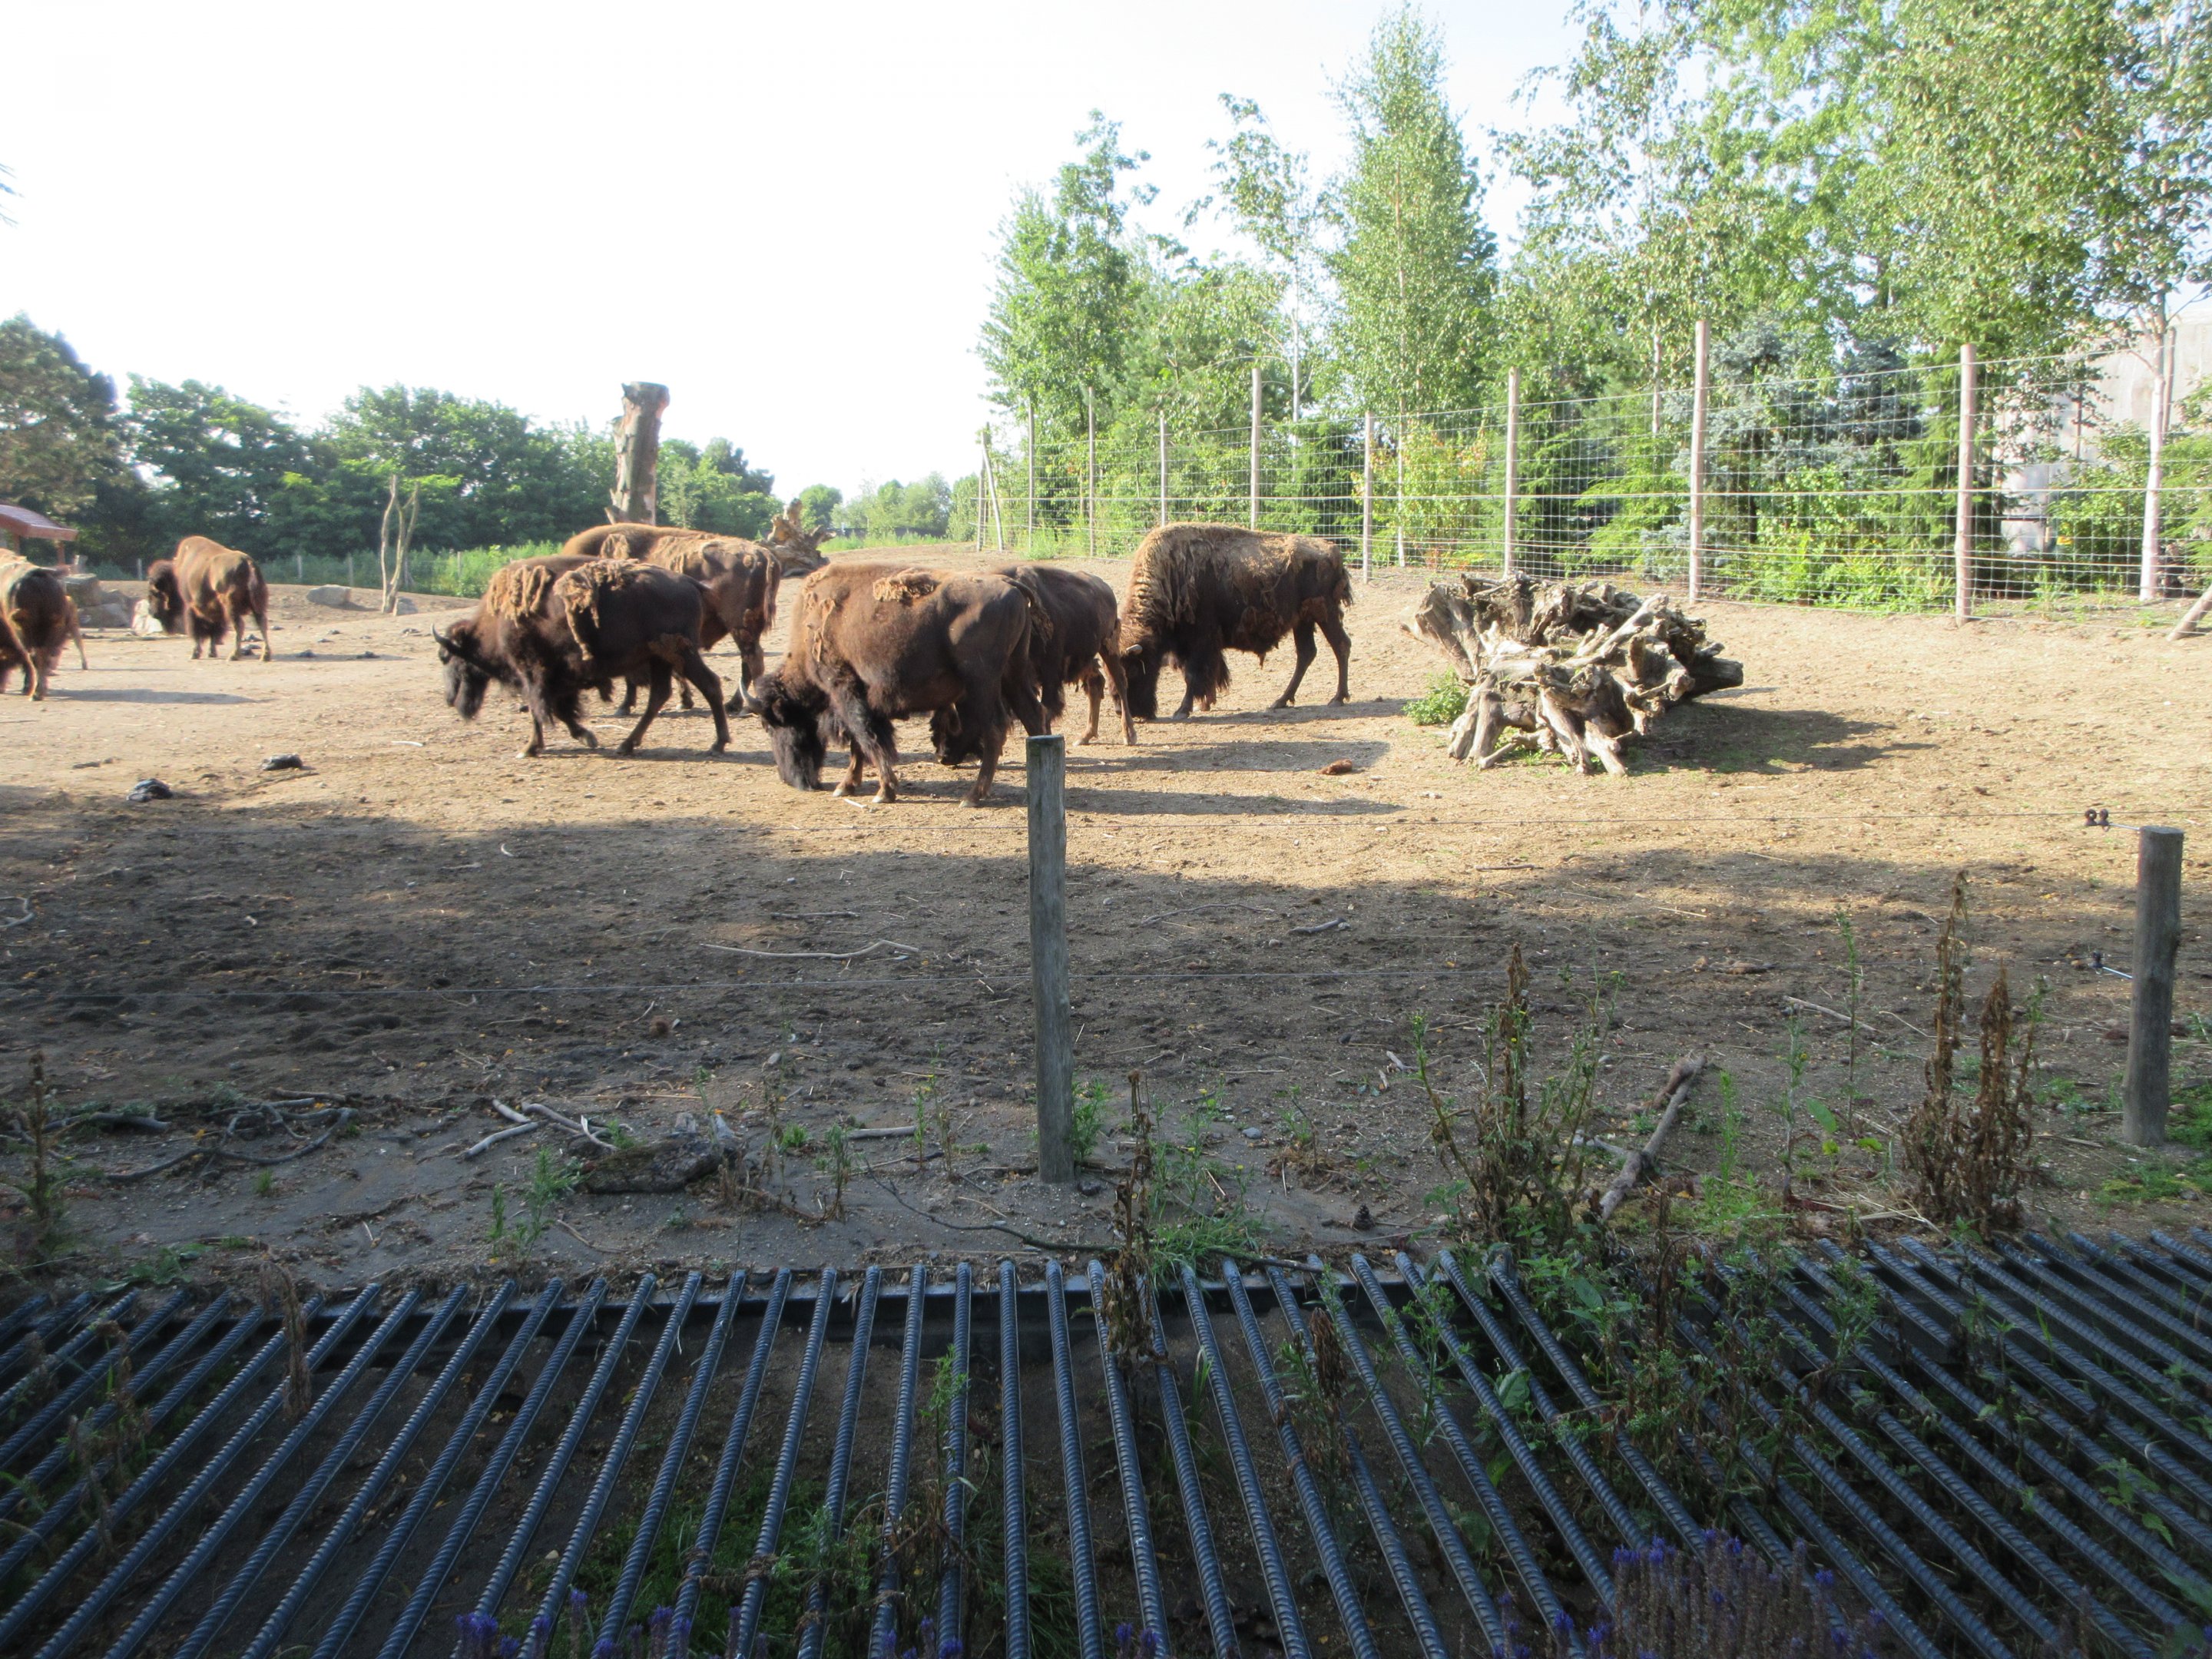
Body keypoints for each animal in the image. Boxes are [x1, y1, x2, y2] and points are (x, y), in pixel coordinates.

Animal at [146, 537, 271, 661]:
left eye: (154, 593)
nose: (151, 612)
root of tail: (248, 562)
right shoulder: (215, 612)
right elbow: (214, 631)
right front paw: (212, 653)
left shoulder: (191, 607)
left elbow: (197, 631)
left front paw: (195, 654)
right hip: (257, 604)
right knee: (262, 623)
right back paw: (265, 655)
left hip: (231, 607)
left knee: (239, 626)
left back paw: (234, 655)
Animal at [434, 555, 730, 758]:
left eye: (446, 657)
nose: (450, 699)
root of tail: (689, 582)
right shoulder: (553, 678)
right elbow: (555, 707)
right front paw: (585, 736)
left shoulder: (533, 672)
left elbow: (541, 708)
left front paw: (531, 747)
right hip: (661, 658)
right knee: (661, 694)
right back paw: (627, 744)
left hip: (680, 653)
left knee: (709, 685)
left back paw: (717, 744)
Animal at [749, 563, 1044, 805]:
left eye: (771, 726)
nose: (788, 779)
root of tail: (1010, 585)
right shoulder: (863, 697)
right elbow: (861, 741)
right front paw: (849, 785)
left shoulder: (843, 689)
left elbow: (866, 737)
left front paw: (883, 791)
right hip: (1013, 673)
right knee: (1032, 717)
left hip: (981, 682)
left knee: (995, 727)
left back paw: (972, 796)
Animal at [1118, 523, 1351, 719]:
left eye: (1135, 669)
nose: (1125, 712)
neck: (1169, 577)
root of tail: (1333, 551)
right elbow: (1207, 673)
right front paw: (1205, 704)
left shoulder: (1200, 642)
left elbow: (1193, 675)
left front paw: (1182, 711)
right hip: (1303, 621)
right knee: (1306, 653)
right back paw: (1280, 701)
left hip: (1325, 614)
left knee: (1341, 645)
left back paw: (1337, 698)